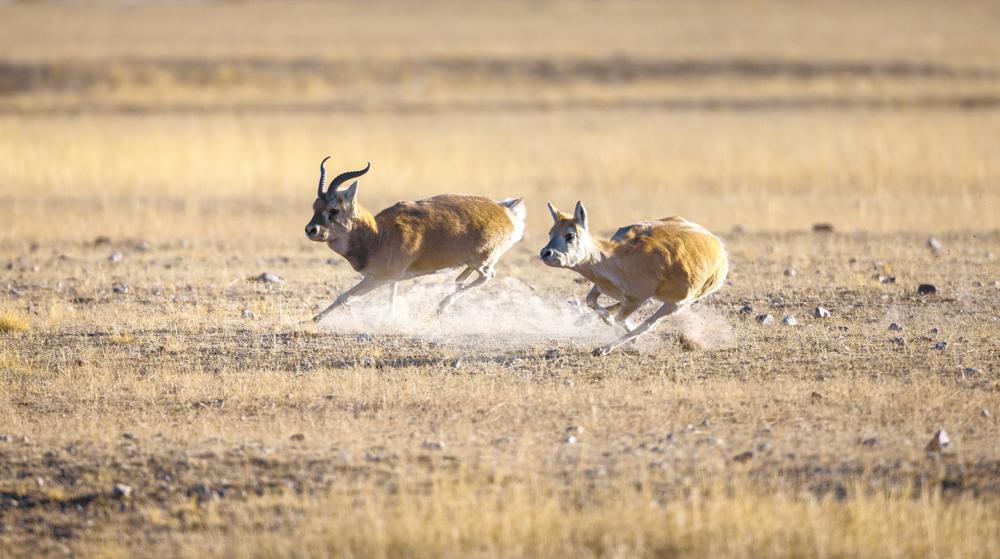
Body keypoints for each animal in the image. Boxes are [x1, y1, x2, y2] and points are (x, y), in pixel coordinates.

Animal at [304, 156, 526, 323]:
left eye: (334, 209)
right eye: (315, 206)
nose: (310, 230)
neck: (378, 236)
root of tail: (505, 210)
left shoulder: (377, 278)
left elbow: (344, 297)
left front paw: (313, 319)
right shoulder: (392, 278)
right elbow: (391, 298)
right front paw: (390, 318)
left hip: (482, 261)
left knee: (487, 276)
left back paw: (441, 306)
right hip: (472, 261)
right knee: (463, 278)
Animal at [540, 201, 728, 356]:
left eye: (570, 235)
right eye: (550, 233)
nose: (545, 253)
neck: (617, 260)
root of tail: (717, 245)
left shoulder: (636, 298)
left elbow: (621, 319)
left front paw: (615, 339)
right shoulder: (602, 286)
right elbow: (591, 300)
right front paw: (603, 320)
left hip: (676, 304)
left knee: (649, 323)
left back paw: (605, 347)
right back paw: (584, 321)